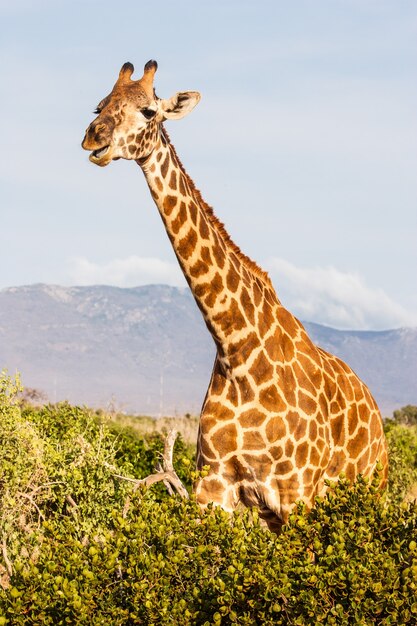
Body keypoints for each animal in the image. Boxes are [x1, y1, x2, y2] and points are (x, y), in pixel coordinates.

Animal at [82, 59, 390, 532]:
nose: (94, 137)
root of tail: (375, 411)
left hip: (369, 492)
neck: (234, 347)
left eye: (149, 111)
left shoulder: (298, 494)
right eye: (100, 105)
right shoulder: (215, 490)